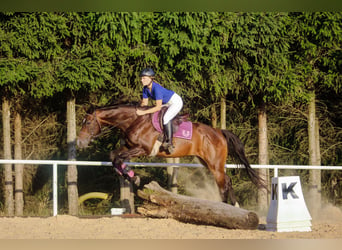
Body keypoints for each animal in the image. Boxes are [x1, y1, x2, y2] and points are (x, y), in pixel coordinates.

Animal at [76, 103, 266, 205]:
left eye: (88, 123)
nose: (79, 142)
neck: (134, 120)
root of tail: (219, 132)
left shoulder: (143, 149)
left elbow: (118, 158)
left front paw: (132, 176)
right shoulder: (129, 147)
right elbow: (114, 157)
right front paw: (131, 176)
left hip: (215, 164)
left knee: (224, 184)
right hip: (207, 162)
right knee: (227, 181)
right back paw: (235, 207)